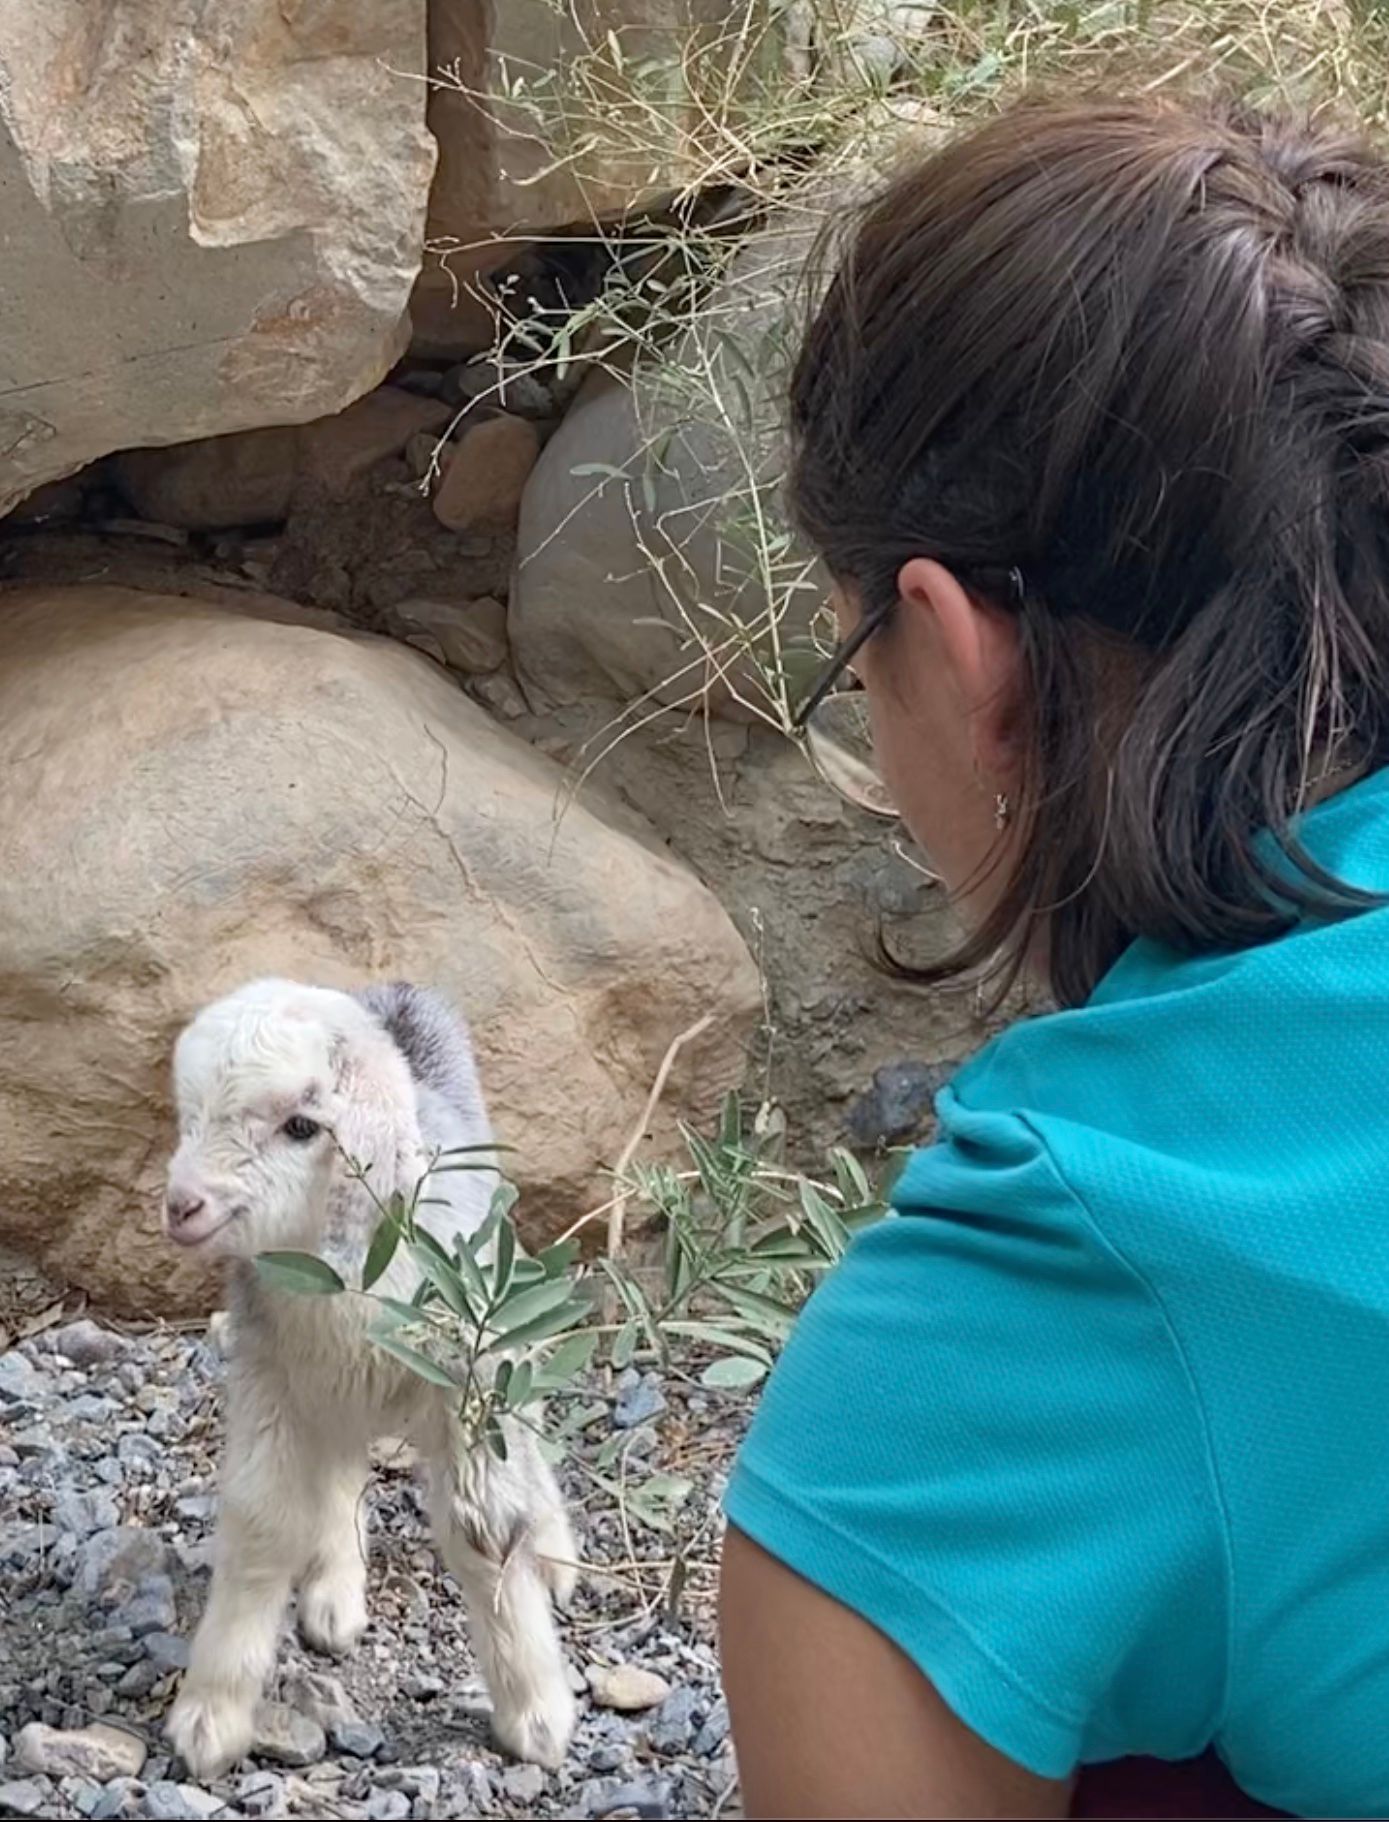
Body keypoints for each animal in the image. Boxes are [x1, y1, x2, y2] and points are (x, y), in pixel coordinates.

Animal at [159, 983, 576, 1778]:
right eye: (189, 1114)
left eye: (301, 1126)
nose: (182, 1205)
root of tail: (401, 993)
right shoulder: (272, 1379)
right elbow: (262, 1525)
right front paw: (210, 1718)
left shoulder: (465, 1384)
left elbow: (481, 1530)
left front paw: (537, 1717)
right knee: (342, 1471)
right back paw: (333, 1598)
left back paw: (556, 1554)